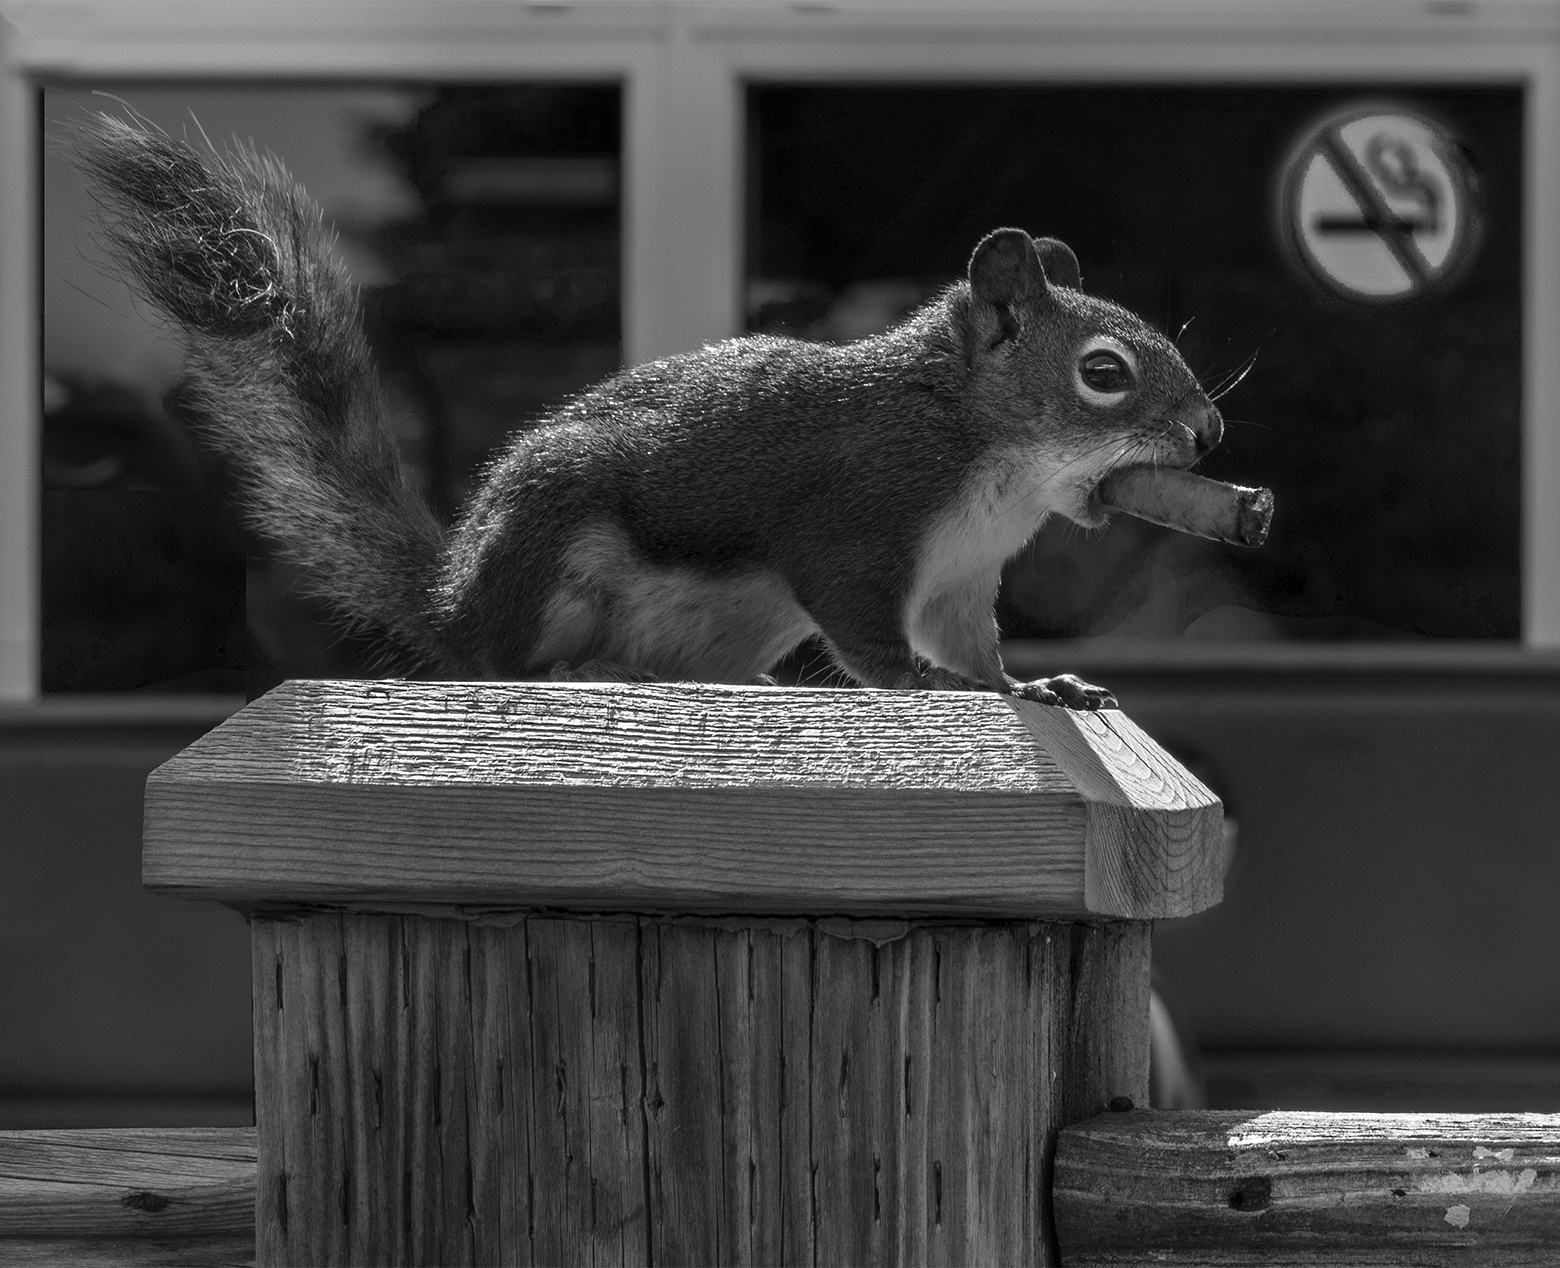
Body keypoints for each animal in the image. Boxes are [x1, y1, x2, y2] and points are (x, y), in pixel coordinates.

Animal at [73, 116, 1223, 711]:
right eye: (1106, 372)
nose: (1209, 433)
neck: (981, 448)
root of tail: (455, 603)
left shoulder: (963, 575)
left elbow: (974, 644)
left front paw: (1032, 686)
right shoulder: (859, 519)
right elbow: (868, 631)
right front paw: (924, 687)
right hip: (551, 550)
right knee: (517, 668)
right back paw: (592, 666)